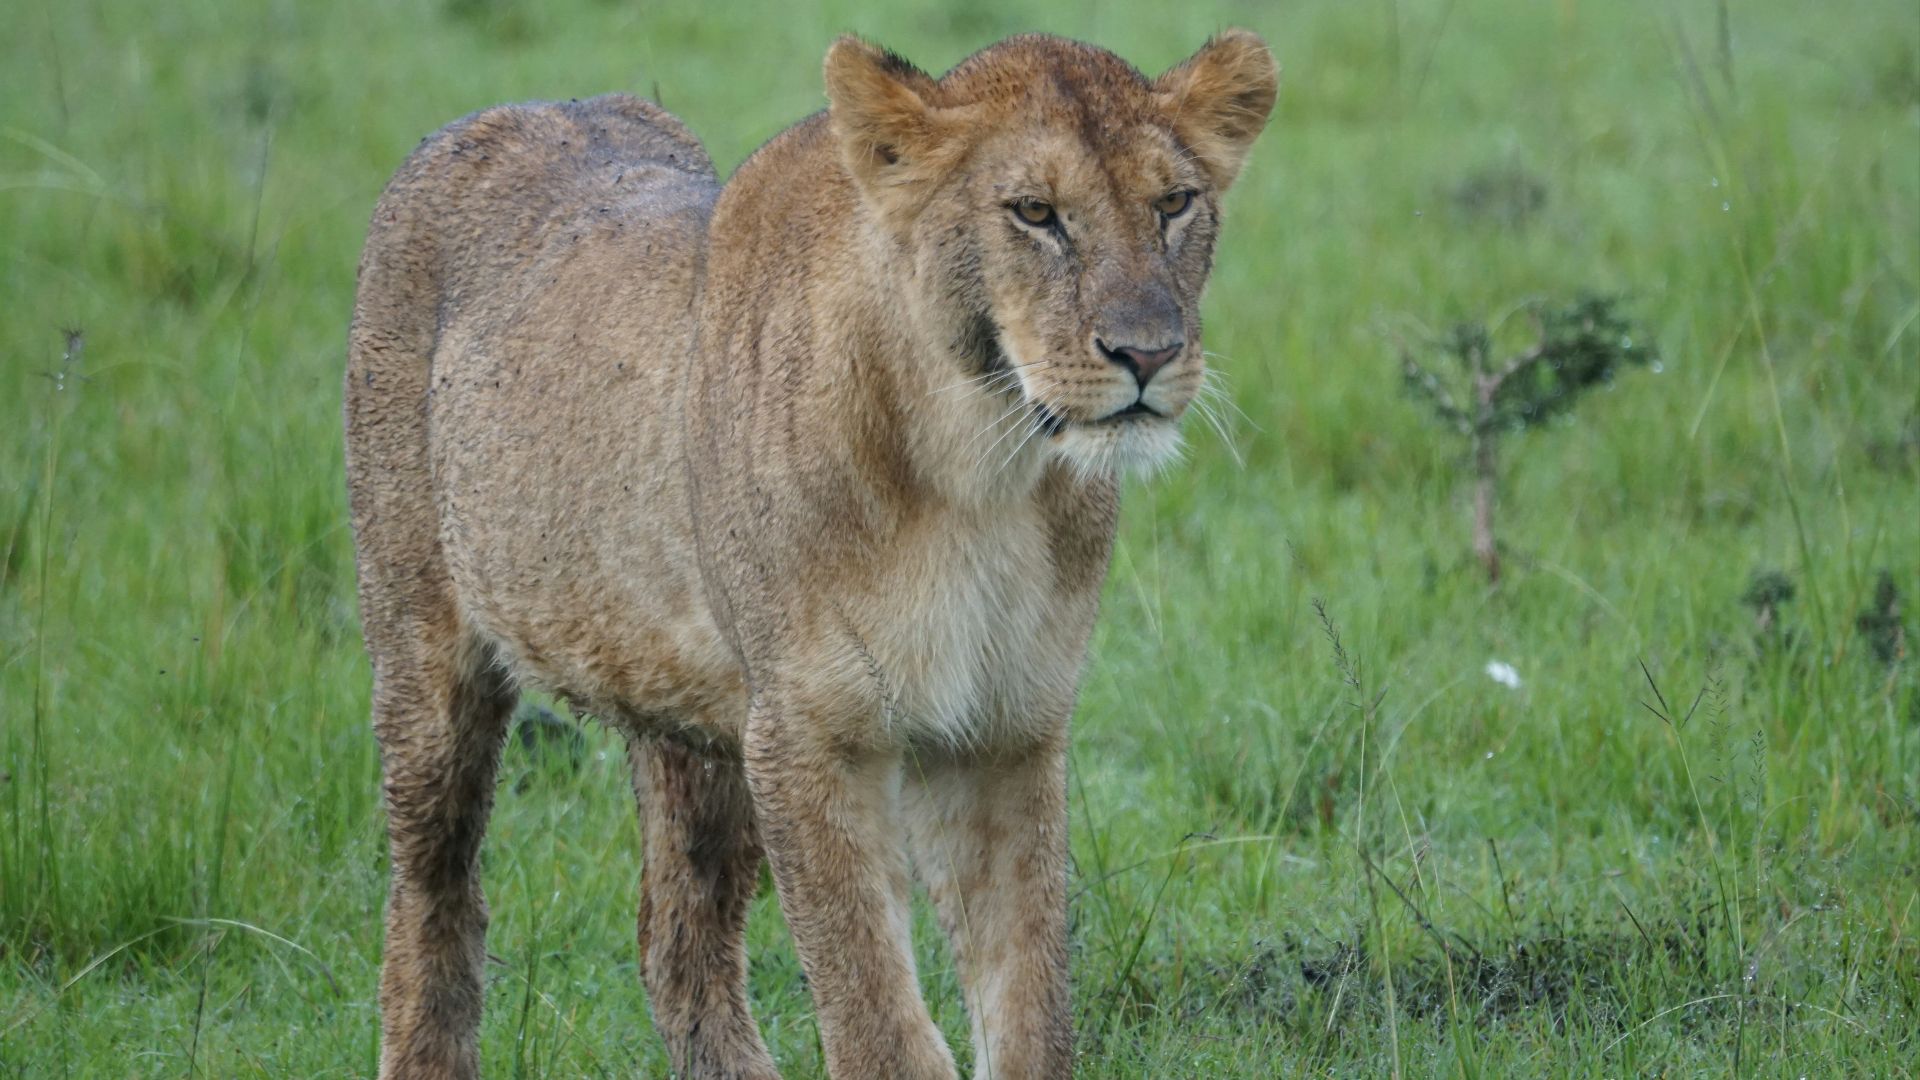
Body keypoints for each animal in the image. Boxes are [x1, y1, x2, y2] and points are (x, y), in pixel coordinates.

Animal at [345, 29, 1275, 1079]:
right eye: (1036, 213)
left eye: (1174, 204)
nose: (1148, 354)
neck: (981, 466)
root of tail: (526, 104)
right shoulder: (808, 736)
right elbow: (877, 1020)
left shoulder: (1006, 733)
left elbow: (1031, 1005)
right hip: (425, 656)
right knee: (433, 901)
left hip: (696, 718)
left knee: (678, 942)